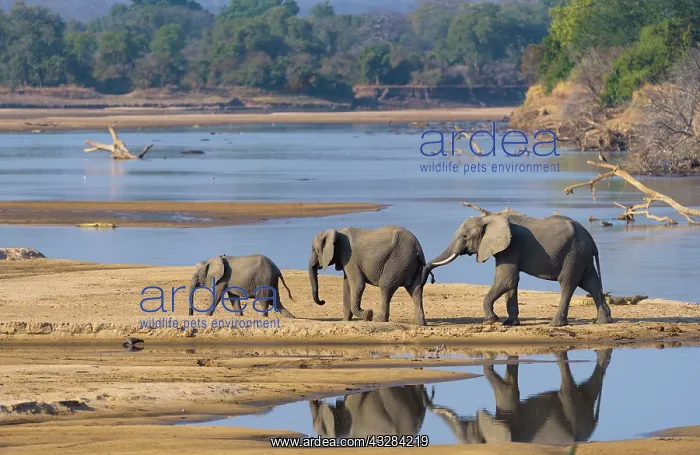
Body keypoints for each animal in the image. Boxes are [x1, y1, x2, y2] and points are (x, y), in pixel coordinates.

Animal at [421, 213, 612, 327]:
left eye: (465, 236)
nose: (431, 277)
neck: (489, 218)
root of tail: (592, 240)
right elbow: (511, 283)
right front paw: (510, 322)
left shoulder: (510, 247)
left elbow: (506, 280)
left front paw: (491, 320)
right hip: (581, 255)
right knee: (590, 283)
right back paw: (604, 321)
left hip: (573, 254)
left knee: (567, 284)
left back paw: (555, 324)